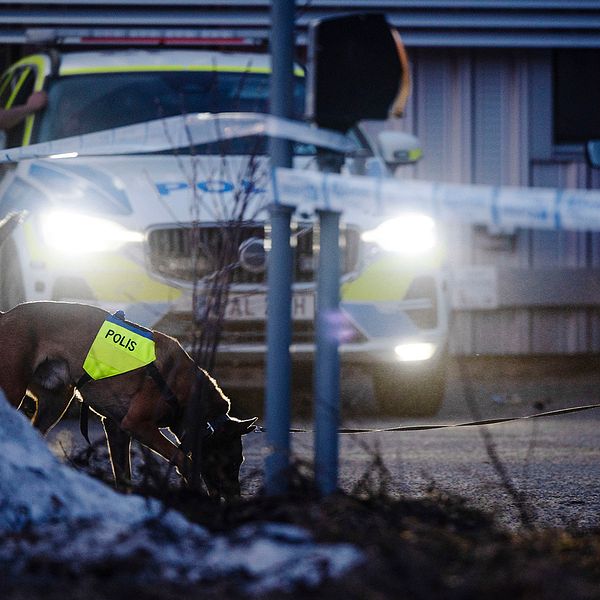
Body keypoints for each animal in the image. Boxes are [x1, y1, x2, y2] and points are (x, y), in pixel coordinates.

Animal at [0, 300, 255, 496]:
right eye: (233, 462)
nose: (236, 499)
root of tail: (6, 316)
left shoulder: (117, 429)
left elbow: (123, 477)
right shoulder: (137, 424)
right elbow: (184, 460)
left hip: (57, 401)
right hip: (14, 391)